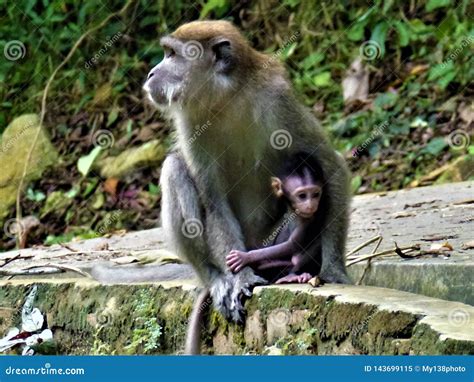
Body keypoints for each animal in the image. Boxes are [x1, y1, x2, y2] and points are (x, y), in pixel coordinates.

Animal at [227, 154, 326, 286]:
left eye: (316, 194)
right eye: (302, 196)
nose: (311, 205)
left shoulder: (307, 220)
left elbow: (291, 245)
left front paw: (246, 256)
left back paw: (294, 275)